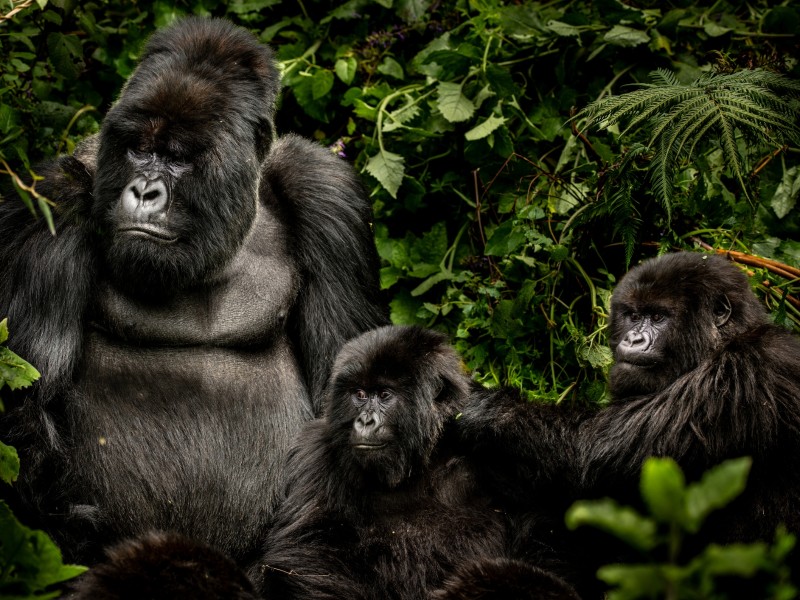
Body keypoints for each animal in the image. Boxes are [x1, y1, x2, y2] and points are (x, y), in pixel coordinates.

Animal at [0, 16, 388, 564]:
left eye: (178, 158)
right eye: (140, 149)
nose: (144, 192)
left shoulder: (327, 194)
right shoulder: (53, 197)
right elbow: (26, 409)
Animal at [247, 326, 580, 600]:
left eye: (385, 395)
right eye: (359, 394)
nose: (364, 421)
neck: (421, 461)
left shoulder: (500, 452)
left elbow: (543, 536)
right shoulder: (317, 451)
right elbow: (310, 553)